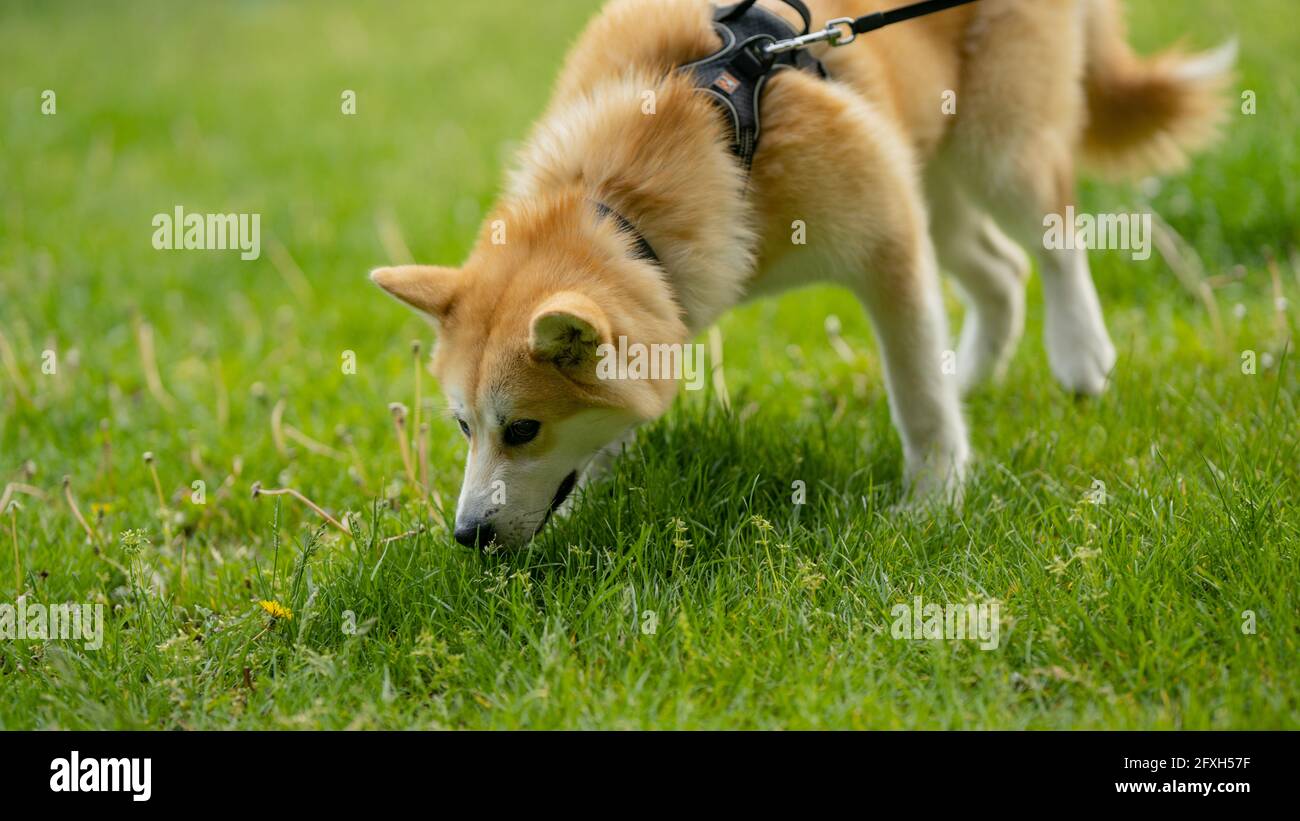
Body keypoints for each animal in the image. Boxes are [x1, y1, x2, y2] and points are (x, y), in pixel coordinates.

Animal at [369, 1, 1227, 550]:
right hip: (933, 173)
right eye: (463, 426)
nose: (467, 535)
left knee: (1053, 235)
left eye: (522, 428)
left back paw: (1079, 352)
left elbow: (917, 393)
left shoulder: (885, 232)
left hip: (996, 146)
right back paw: (977, 373)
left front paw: (935, 497)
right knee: (998, 269)